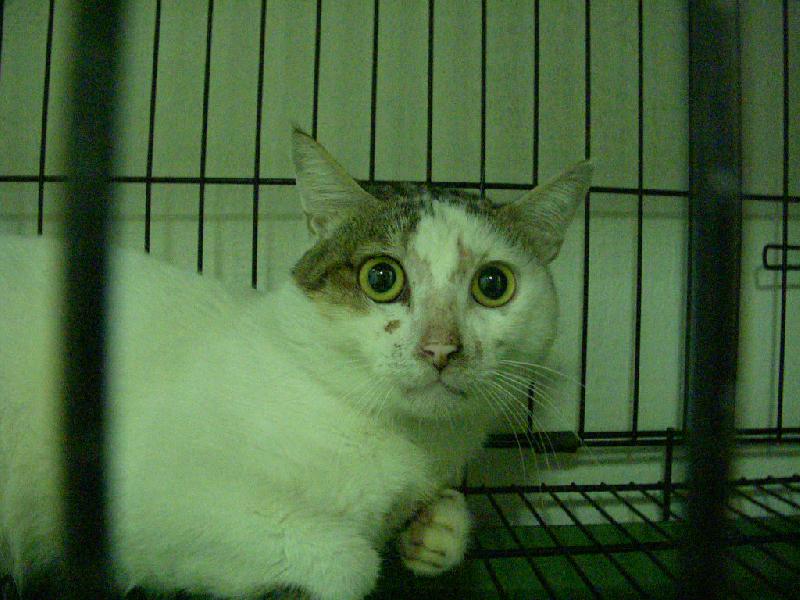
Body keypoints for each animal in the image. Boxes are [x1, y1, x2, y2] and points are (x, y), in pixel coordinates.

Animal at [0, 129, 592, 599]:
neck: (401, 440)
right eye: (382, 278)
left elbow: (442, 517)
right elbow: (348, 559)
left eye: (493, 285)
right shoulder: (141, 493)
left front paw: (435, 532)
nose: (441, 348)